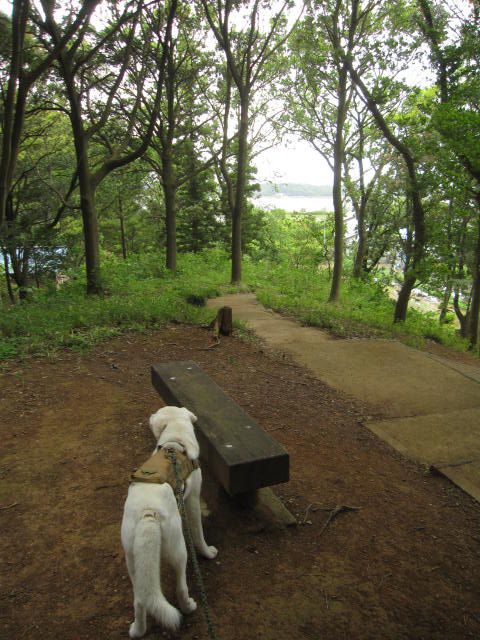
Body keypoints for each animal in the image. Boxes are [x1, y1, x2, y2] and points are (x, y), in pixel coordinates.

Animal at [121, 408, 218, 636]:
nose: (149, 416)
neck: (176, 441)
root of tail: (148, 513)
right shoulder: (192, 499)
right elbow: (198, 534)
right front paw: (208, 552)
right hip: (179, 550)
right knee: (181, 587)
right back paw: (189, 606)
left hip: (133, 561)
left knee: (140, 601)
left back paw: (137, 631)